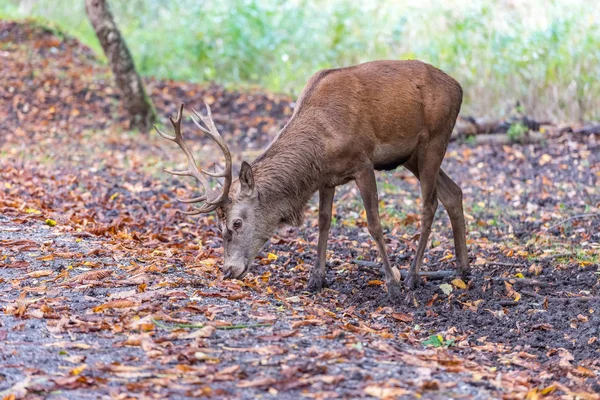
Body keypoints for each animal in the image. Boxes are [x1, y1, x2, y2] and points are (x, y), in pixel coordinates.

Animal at [157, 58, 472, 296]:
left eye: (236, 222)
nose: (228, 270)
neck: (321, 143)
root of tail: (459, 88)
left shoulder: (363, 163)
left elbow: (374, 224)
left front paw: (392, 285)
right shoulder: (326, 178)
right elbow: (323, 222)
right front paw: (316, 278)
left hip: (435, 139)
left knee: (429, 204)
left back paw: (412, 277)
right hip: (412, 156)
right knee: (453, 192)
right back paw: (462, 269)